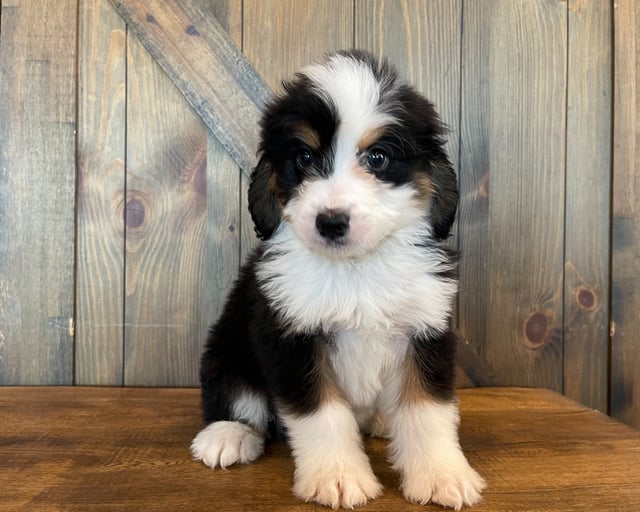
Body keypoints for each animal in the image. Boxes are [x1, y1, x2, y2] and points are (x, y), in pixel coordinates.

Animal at [191, 50, 484, 510]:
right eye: (305, 158)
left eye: (378, 158)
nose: (330, 222)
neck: (355, 267)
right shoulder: (289, 335)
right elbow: (322, 415)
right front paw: (339, 477)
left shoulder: (425, 329)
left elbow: (426, 410)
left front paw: (442, 475)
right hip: (227, 350)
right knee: (239, 400)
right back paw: (228, 435)